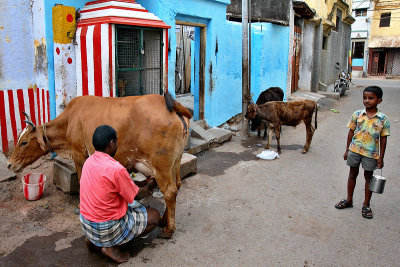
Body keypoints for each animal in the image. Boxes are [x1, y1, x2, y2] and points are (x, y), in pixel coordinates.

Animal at [7, 92, 191, 239]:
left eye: (24, 142)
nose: (9, 164)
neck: (69, 120)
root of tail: (172, 105)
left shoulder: (79, 153)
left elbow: (81, 180)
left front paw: (80, 206)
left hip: (161, 166)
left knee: (170, 192)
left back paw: (168, 229)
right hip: (175, 161)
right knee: (177, 186)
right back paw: (164, 220)